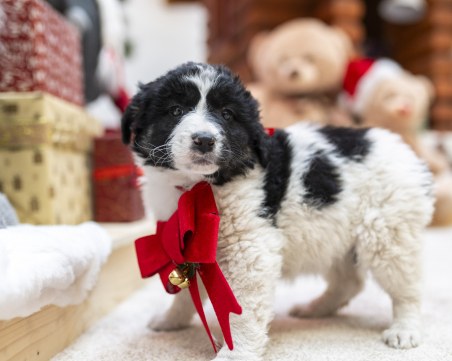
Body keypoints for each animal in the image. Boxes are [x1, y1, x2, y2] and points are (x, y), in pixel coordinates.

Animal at [122, 62, 434, 360]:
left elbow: (242, 309)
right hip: (336, 236)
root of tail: (410, 156)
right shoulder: (186, 240)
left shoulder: (249, 250)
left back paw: (405, 330)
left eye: (227, 114)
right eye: (175, 110)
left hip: (388, 233)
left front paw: (236, 354)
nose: (204, 140)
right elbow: (188, 289)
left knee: (406, 288)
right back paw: (316, 308)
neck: (199, 186)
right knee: (349, 281)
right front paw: (171, 319)